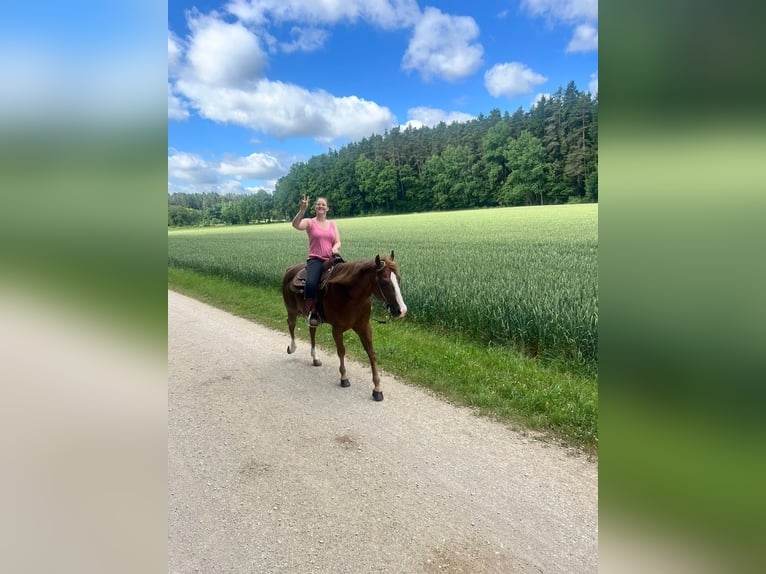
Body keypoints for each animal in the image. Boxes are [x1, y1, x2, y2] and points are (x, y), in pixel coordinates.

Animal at [281, 251, 407, 401]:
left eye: (398, 279)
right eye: (384, 282)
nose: (402, 310)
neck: (350, 296)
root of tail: (290, 269)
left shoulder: (364, 327)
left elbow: (371, 354)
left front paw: (377, 388)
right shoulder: (337, 329)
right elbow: (341, 352)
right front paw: (344, 378)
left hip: (310, 317)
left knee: (312, 331)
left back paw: (315, 358)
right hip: (292, 310)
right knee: (291, 325)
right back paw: (292, 348)